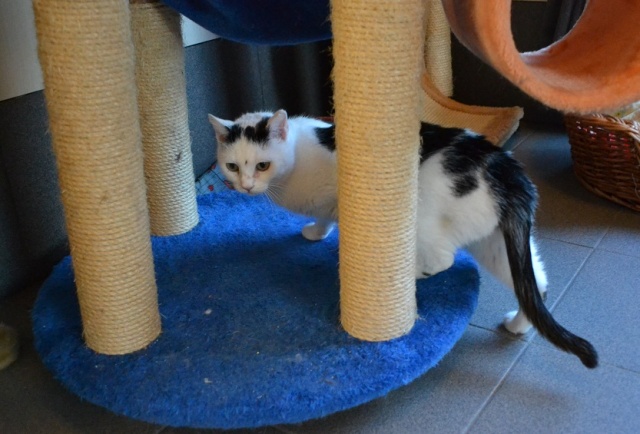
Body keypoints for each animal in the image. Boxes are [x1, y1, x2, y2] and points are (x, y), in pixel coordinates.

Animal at [209, 109, 598, 369]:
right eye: (233, 166)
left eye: (262, 165)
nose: (245, 186)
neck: (297, 161)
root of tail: (509, 171)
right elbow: (323, 217)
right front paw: (317, 232)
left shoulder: (343, 196)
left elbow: (332, 217)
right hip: (496, 246)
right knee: (535, 286)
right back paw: (517, 325)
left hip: (423, 213)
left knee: (443, 259)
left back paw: (406, 275)